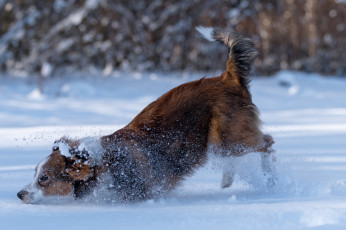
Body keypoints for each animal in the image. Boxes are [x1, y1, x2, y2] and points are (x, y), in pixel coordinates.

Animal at [17, 27, 276, 203]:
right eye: (34, 174)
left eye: (44, 179)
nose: (19, 194)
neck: (102, 165)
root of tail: (227, 77)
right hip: (220, 143)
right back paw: (226, 182)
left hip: (228, 139)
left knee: (268, 143)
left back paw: (272, 180)